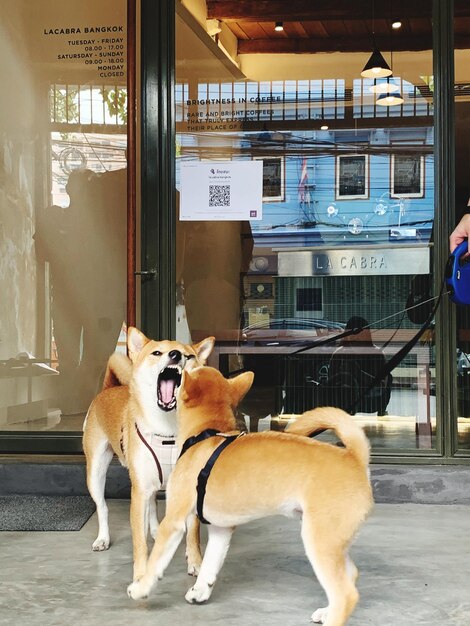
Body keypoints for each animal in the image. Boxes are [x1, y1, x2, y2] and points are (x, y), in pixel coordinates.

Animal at [83, 326, 215, 580]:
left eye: (189, 356)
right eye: (156, 353)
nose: (175, 355)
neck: (169, 431)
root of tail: (109, 388)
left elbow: (193, 533)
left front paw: (196, 563)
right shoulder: (139, 492)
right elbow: (139, 541)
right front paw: (141, 573)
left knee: (153, 504)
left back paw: (155, 530)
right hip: (96, 472)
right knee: (102, 507)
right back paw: (103, 538)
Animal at [126, 366, 372, 624]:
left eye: (191, 369)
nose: (180, 362)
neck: (207, 433)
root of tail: (355, 458)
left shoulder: (173, 521)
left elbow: (155, 561)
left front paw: (141, 587)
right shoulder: (221, 529)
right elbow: (210, 563)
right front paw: (201, 590)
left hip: (320, 541)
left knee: (345, 594)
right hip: (334, 541)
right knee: (351, 576)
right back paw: (327, 611)